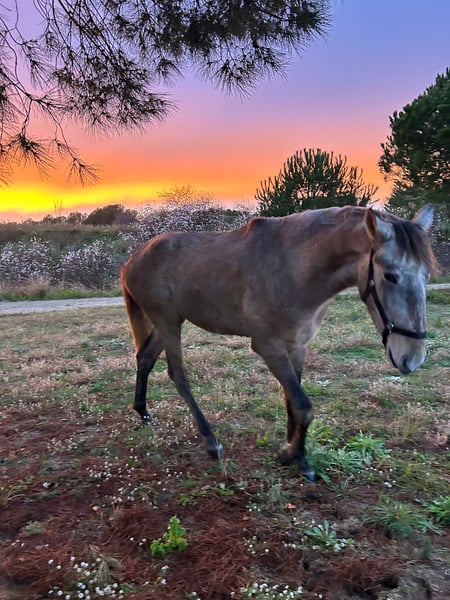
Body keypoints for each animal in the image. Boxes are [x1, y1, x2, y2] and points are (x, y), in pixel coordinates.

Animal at [120, 204, 436, 481]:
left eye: (426, 275)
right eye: (390, 275)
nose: (411, 359)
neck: (294, 269)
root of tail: (133, 260)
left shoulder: (296, 345)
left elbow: (291, 401)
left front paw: (294, 453)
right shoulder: (269, 347)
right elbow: (303, 405)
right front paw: (293, 455)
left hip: (167, 323)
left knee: (145, 358)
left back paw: (143, 414)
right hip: (168, 323)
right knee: (178, 376)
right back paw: (210, 440)